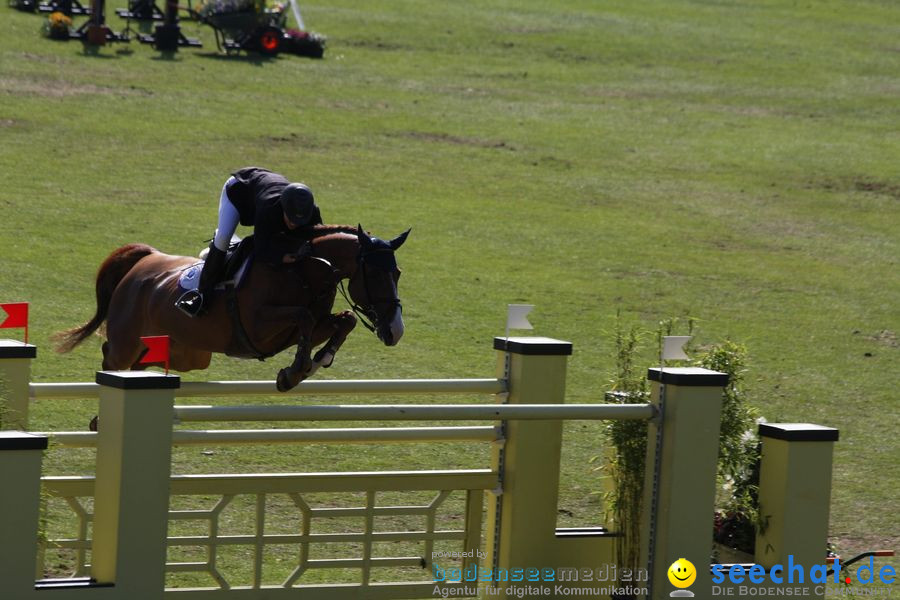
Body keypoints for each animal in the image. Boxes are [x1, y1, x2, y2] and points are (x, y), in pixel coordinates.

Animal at [54, 224, 410, 390]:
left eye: (397, 273)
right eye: (374, 274)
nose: (395, 331)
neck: (303, 269)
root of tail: (145, 260)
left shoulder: (304, 326)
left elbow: (344, 320)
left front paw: (318, 360)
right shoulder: (259, 327)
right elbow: (304, 315)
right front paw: (295, 371)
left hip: (184, 355)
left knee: (140, 364)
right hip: (128, 340)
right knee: (112, 357)